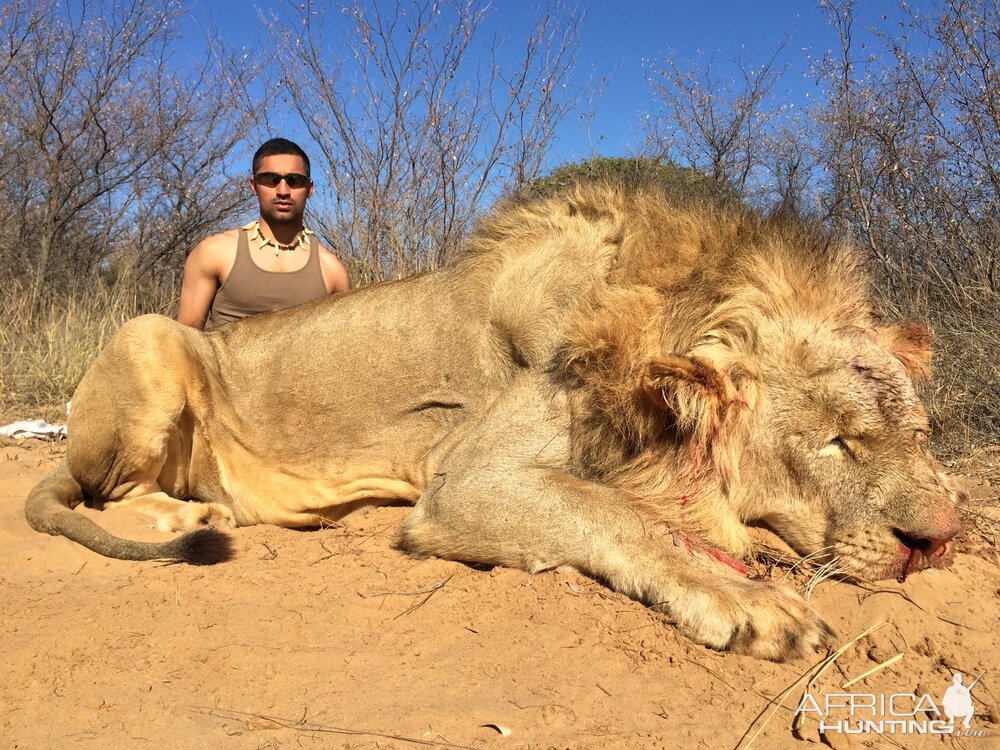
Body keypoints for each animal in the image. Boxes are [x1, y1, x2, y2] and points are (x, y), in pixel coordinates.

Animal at [23, 184, 960, 664]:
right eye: (837, 441)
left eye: (918, 436)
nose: (939, 542)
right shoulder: (468, 480)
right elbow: (616, 516)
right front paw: (752, 602)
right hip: (148, 335)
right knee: (110, 493)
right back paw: (187, 512)